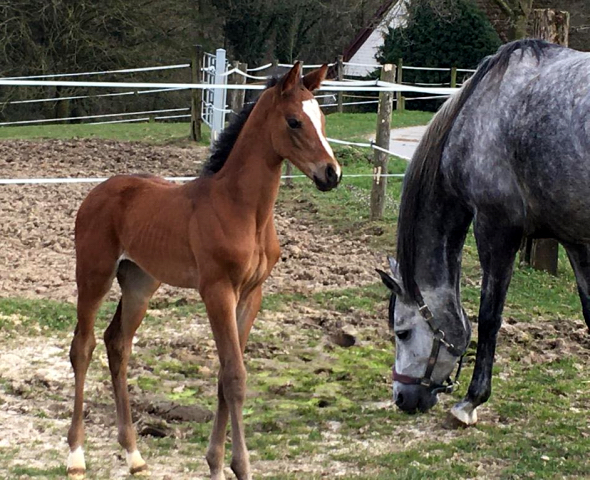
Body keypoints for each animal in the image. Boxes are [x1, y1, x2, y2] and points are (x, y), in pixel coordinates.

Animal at [66, 63, 342, 480]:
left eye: (323, 119)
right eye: (294, 121)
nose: (332, 174)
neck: (243, 211)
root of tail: (97, 192)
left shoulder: (251, 295)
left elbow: (225, 375)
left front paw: (215, 461)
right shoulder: (217, 291)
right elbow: (235, 376)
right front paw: (240, 466)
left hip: (140, 283)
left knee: (118, 344)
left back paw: (133, 454)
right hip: (94, 274)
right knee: (83, 346)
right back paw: (76, 455)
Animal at [380, 40, 590, 424]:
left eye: (402, 332)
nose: (402, 397)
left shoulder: (495, 228)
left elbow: (489, 317)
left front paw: (471, 401)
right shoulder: (574, 238)